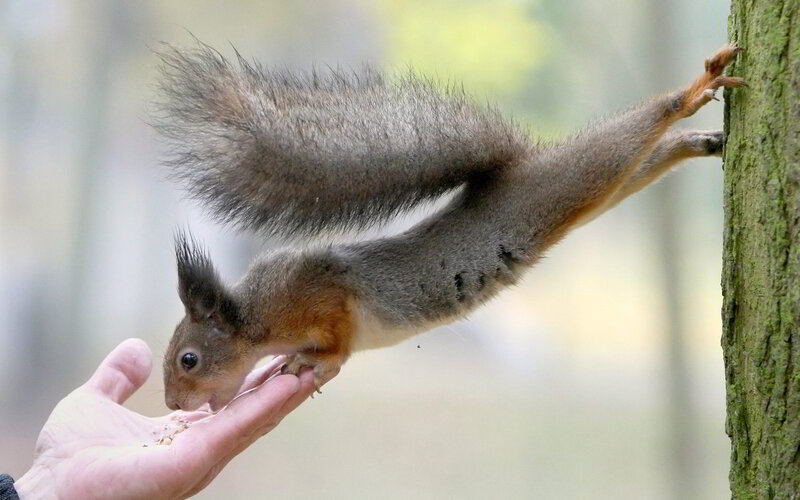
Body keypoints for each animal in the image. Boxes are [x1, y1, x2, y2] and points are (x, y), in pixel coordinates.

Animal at [156, 43, 744, 412]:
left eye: (189, 359)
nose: (172, 404)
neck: (257, 317)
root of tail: (520, 167)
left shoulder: (322, 295)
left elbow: (338, 341)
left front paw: (313, 363)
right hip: (592, 194)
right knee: (641, 163)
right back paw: (697, 140)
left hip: (569, 180)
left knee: (626, 139)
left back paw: (692, 93)